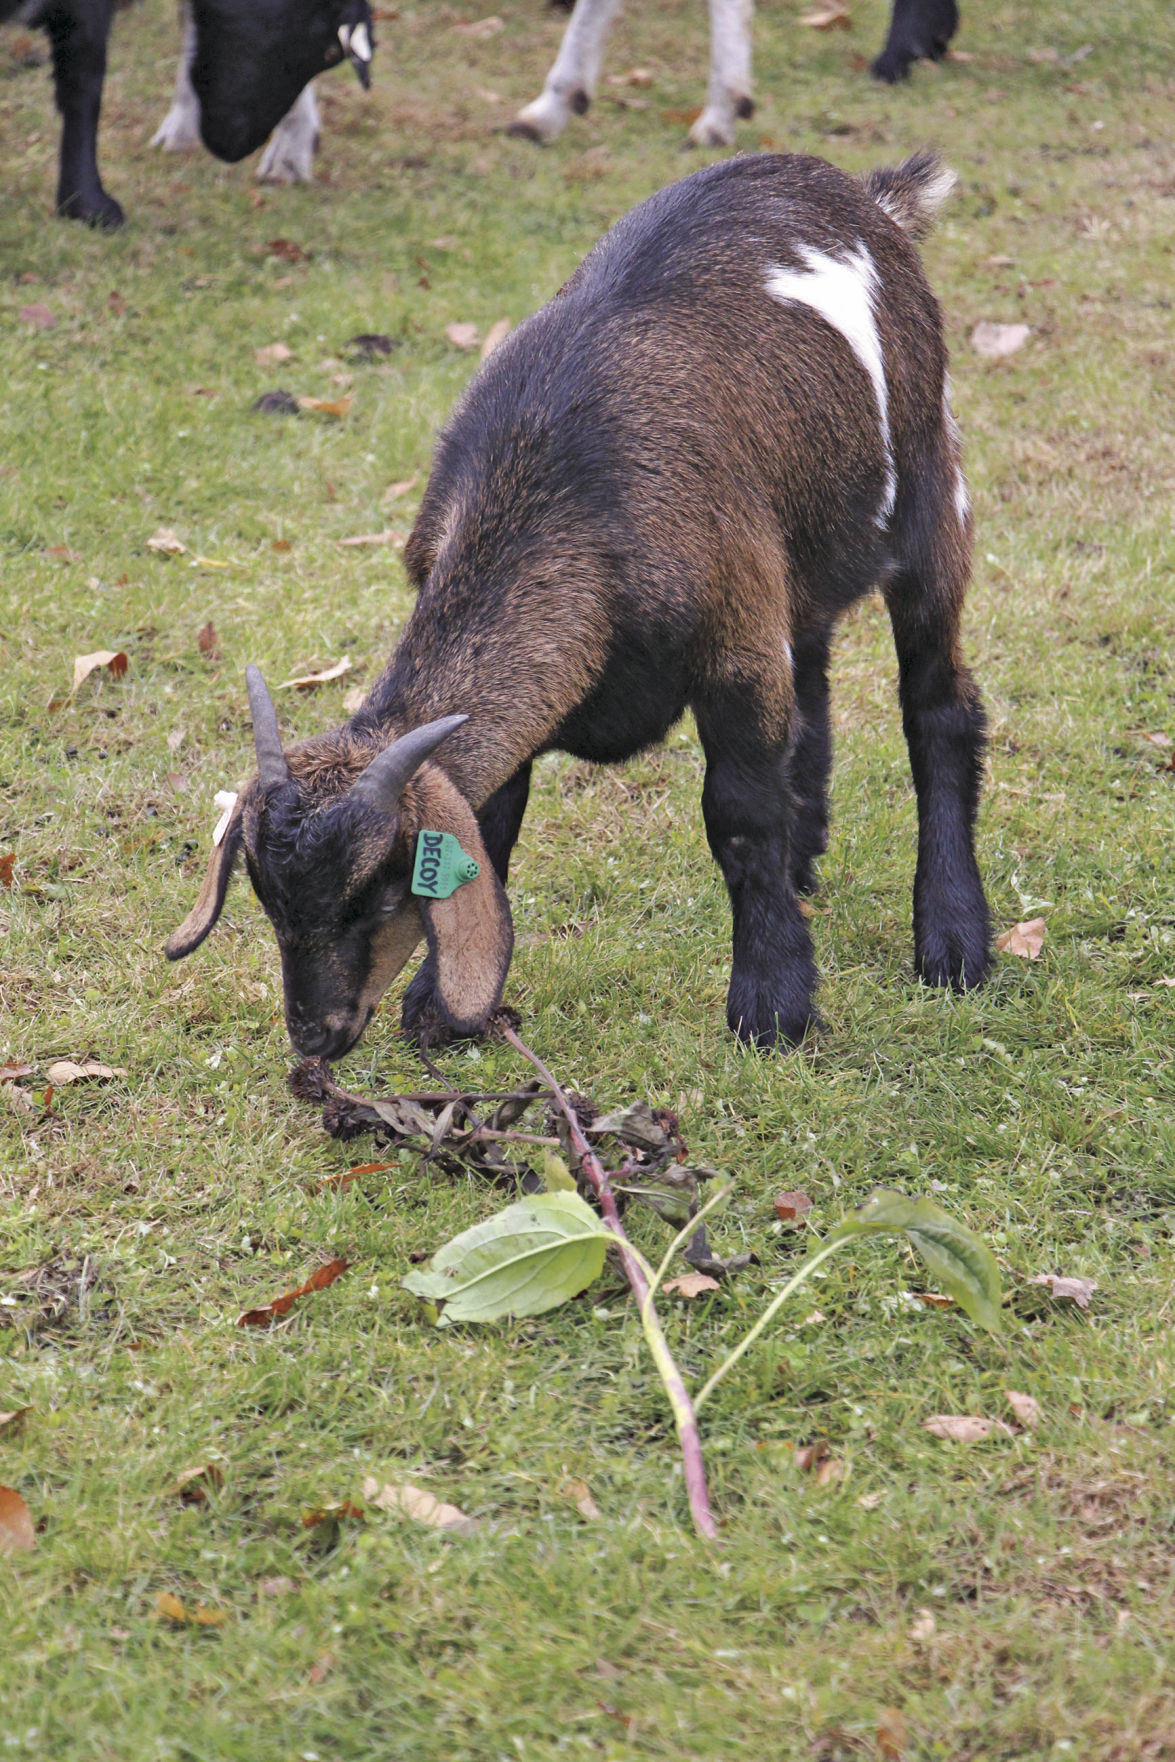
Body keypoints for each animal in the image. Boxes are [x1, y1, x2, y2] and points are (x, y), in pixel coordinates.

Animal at [167, 150, 992, 1060]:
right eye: (264, 897)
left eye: (376, 892)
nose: (315, 1035)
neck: (561, 485)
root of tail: (866, 197)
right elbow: (495, 818)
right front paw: (440, 1005)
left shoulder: (733, 645)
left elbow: (739, 818)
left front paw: (772, 1003)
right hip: (800, 550)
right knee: (810, 680)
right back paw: (809, 859)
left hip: (930, 489)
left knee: (938, 706)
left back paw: (953, 940)